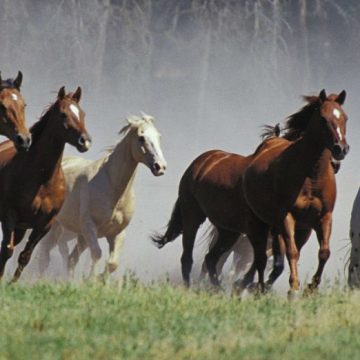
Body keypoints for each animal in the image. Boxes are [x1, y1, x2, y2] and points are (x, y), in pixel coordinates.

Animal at [0, 86, 91, 282]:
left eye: (82, 113)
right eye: (63, 114)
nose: (85, 141)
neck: (42, 181)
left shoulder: (45, 224)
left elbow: (25, 256)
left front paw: (12, 283)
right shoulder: (9, 216)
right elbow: (7, 250)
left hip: (22, 228)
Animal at [37, 114, 167, 278]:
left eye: (158, 136)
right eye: (141, 138)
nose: (160, 167)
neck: (114, 191)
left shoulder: (117, 233)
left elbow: (112, 263)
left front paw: (99, 279)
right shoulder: (89, 227)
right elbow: (97, 254)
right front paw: (91, 279)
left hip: (75, 235)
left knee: (70, 259)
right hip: (55, 228)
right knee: (45, 257)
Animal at [153, 90, 348, 296]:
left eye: (345, 118)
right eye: (323, 119)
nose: (340, 151)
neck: (308, 178)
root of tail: (200, 162)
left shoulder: (316, 221)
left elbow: (321, 253)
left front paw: (309, 288)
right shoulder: (283, 220)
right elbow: (287, 254)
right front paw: (291, 289)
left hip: (228, 231)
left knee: (211, 259)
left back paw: (218, 288)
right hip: (193, 216)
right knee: (189, 258)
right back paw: (191, 288)